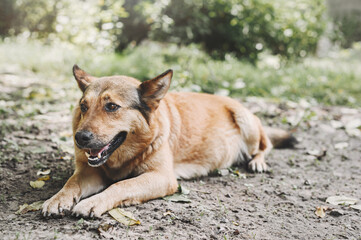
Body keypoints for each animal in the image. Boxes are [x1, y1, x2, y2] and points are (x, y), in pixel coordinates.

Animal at [43, 65, 296, 218]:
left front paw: (92, 202)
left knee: (265, 146)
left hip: (247, 123)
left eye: (112, 106)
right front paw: (57, 199)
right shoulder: (90, 171)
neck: (122, 158)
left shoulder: (162, 177)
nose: (80, 138)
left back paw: (258, 162)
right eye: (84, 107)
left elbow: (121, 185)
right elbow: (72, 182)